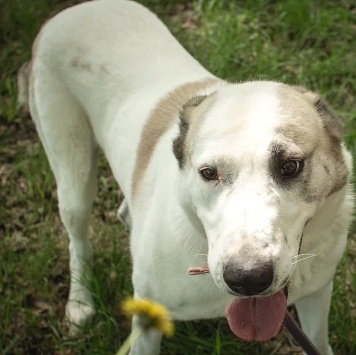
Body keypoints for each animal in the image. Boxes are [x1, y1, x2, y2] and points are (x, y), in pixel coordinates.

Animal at [22, 1, 354, 354]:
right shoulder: (146, 324)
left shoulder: (317, 292)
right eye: (208, 173)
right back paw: (80, 302)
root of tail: (70, 12)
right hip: (72, 169)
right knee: (78, 237)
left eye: (290, 166)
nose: (247, 278)